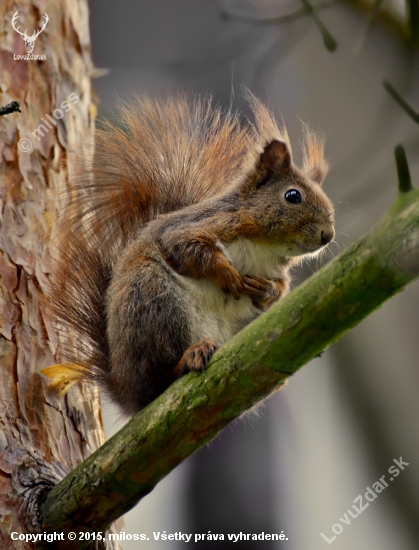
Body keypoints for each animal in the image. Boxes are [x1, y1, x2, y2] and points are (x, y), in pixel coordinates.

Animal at [42, 92, 336, 416]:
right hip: (154, 300)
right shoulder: (200, 226)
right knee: (159, 380)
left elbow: (281, 289)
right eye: (292, 196)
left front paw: (265, 290)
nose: (328, 235)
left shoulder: (278, 270)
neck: (265, 247)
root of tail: (127, 391)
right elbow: (188, 248)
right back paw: (189, 357)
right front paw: (228, 276)